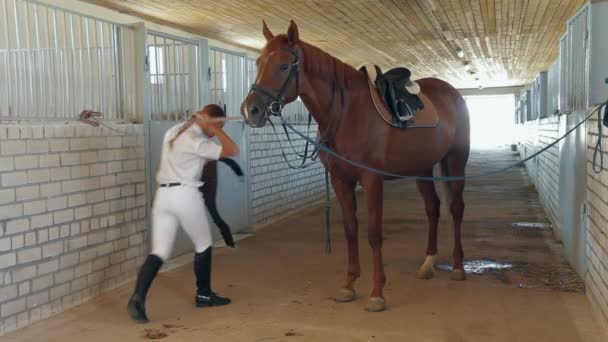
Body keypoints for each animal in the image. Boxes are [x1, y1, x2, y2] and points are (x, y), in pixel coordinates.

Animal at [241, 20, 470, 312]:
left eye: (283, 66)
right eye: (258, 63)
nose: (251, 111)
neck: (347, 111)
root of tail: (453, 94)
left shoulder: (372, 180)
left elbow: (373, 233)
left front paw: (377, 293)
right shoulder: (340, 179)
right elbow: (351, 230)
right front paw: (348, 286)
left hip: (455, 160)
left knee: (456, 208)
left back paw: (458, 267)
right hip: (422, 168)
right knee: (433, 208)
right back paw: (428, 263)